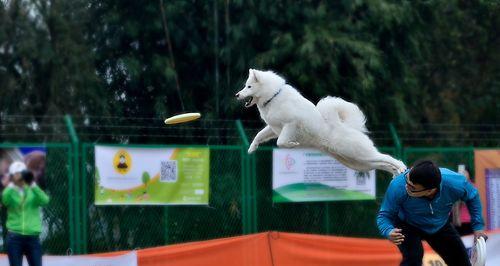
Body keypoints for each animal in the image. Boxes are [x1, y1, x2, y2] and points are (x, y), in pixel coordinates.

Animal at [235, 69, 406, 176]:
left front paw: (292, 145)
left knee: (388, 158)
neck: (273, 97)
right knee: (383, 164)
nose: (237, 95)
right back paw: (395, 173)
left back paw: (401, 167)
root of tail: (344, 126)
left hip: (361, 155)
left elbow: (280, 142)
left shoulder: (291, 124)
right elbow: (259, 135)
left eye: (249, 86)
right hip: (358, 162)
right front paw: (251, 148)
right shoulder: (272, 127)